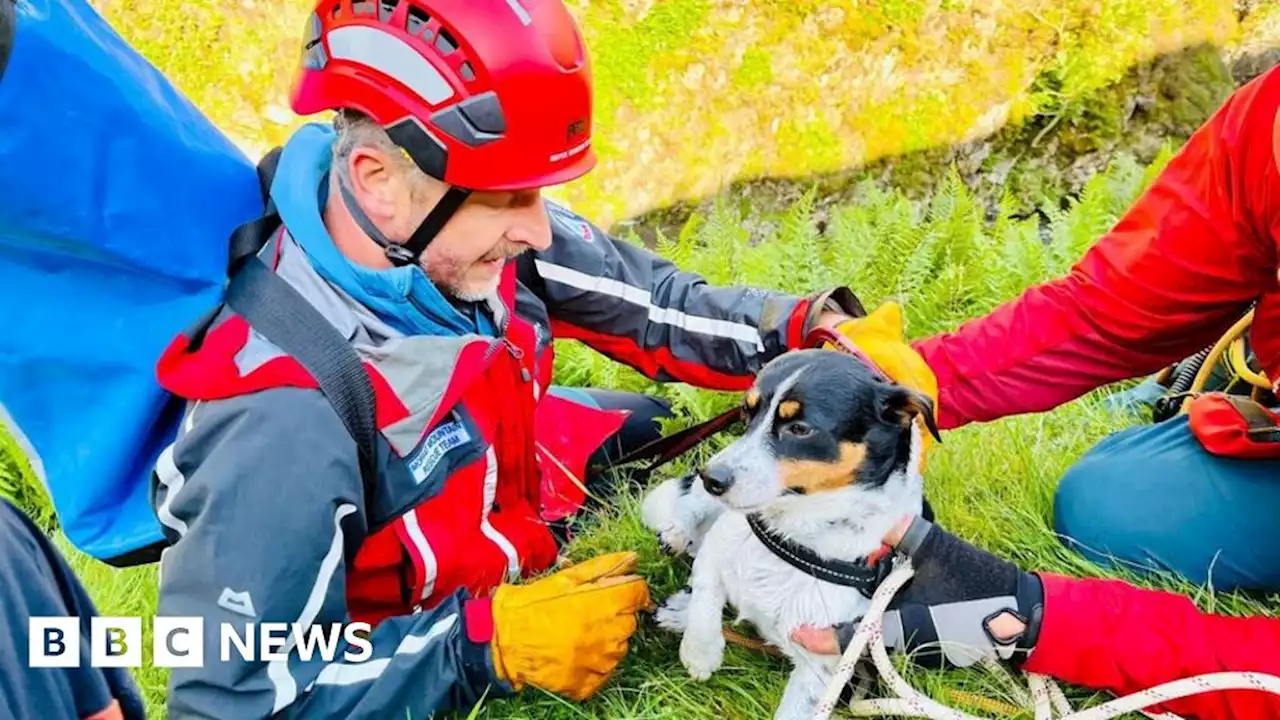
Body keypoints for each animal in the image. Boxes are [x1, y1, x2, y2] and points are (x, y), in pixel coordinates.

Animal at [640, 345, 942, 712]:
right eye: (746, 412)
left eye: (799, 429)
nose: (712, 477)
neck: (791, 533)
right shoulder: (717, 548)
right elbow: (706, 596)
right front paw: (700, 653)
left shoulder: (820, 664)